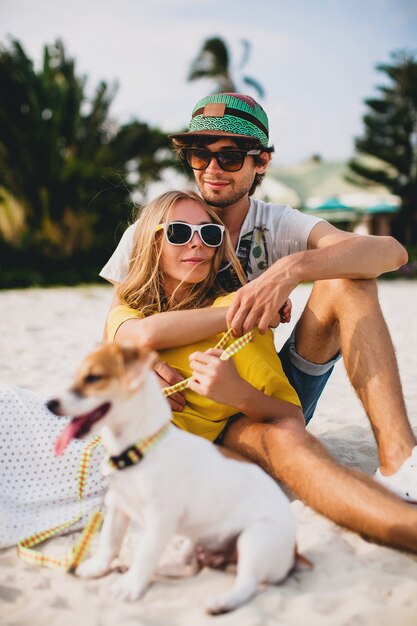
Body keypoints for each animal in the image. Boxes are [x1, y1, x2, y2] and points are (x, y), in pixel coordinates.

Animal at [48, 338, 296, 612]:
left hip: (254, 539)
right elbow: (109, 542)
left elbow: (146, 552)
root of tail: (294, 554)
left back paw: (221, 602)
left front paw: (130, 587)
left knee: (247, 584)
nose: (50, 404)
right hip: (197, 537)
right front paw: (97, 568)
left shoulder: (160, 518)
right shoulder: (117, 506)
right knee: (187, 567)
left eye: (94, 378)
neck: (139, 449)